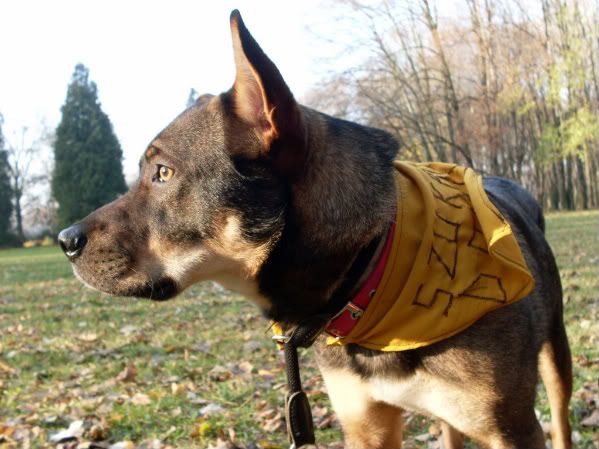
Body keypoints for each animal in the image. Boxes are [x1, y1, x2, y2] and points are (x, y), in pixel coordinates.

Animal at [57, 10, 572, 449]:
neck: (367, 271)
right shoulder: (366, 424)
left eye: (162, 172)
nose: (65, 240)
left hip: (555, 358)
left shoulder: (511, 428)